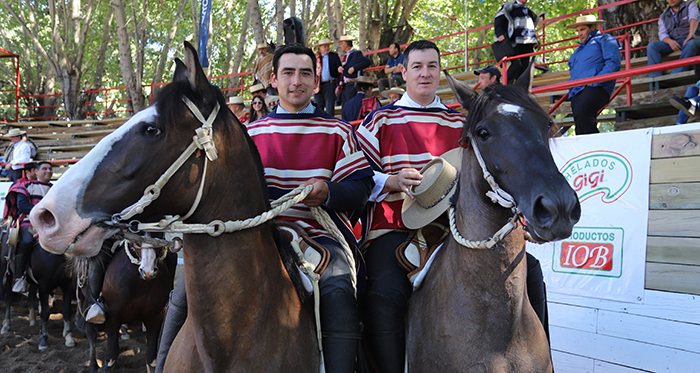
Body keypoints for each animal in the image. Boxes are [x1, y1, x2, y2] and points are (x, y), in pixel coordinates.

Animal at [73, 240, 175, 370]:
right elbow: (111, 356)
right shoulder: (113, 317)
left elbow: (151, 357)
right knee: (91, 332)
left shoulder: (155, 316)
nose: (148, 270)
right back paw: (93, 365)